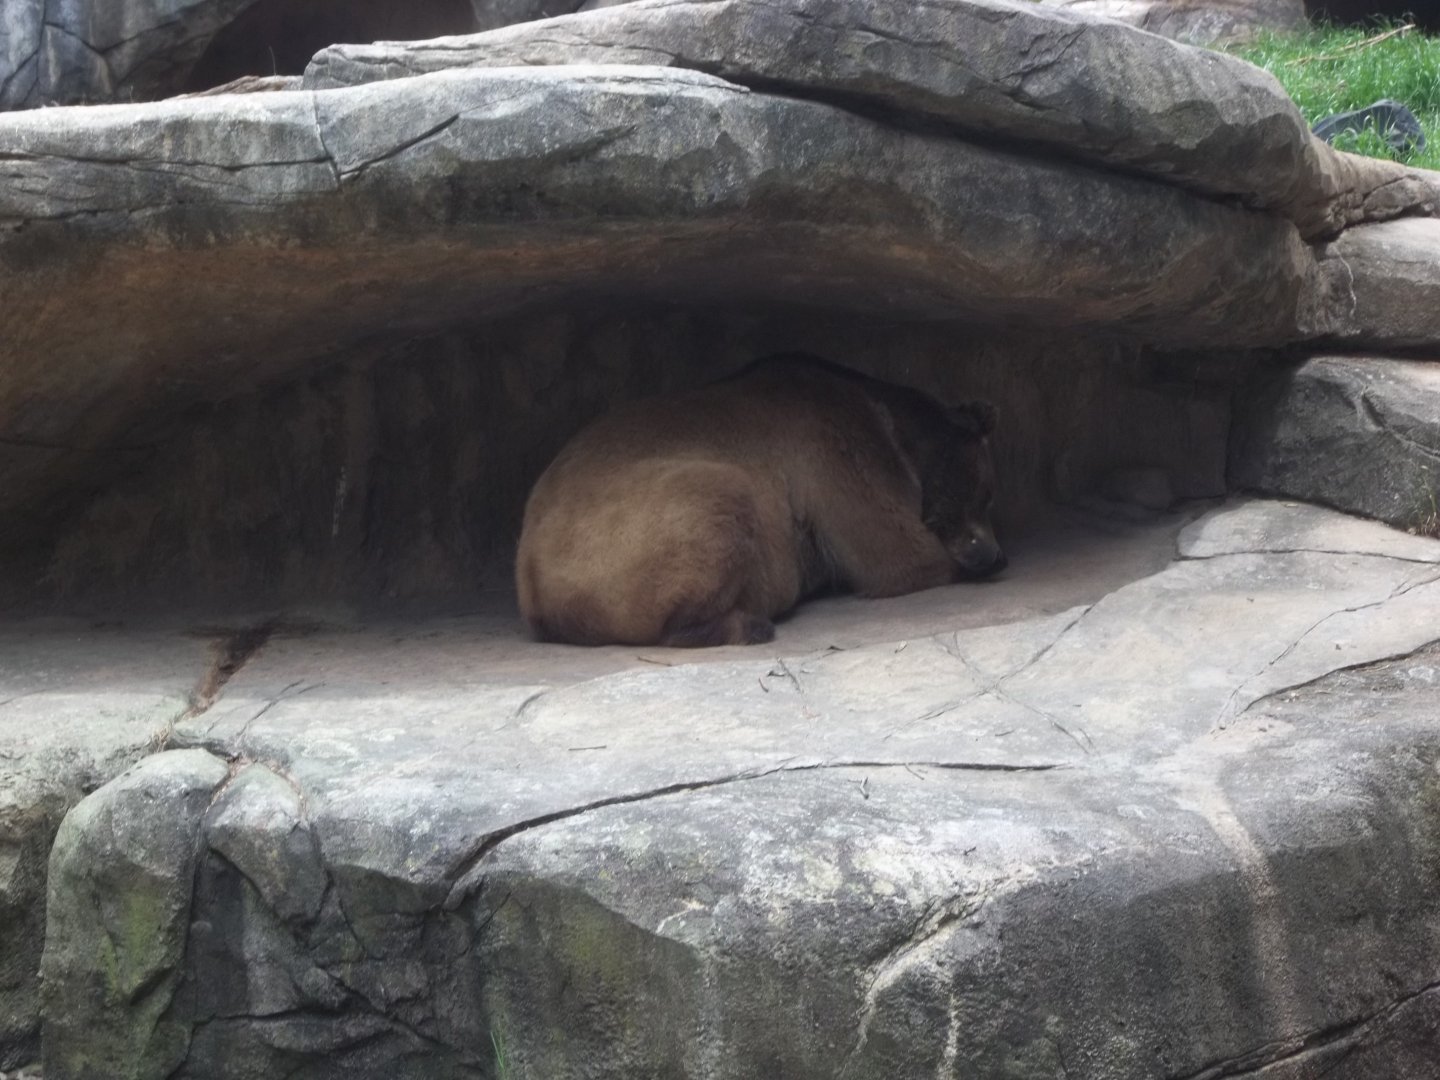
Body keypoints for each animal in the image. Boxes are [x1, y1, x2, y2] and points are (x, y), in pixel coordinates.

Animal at [515, 352, 1004, 647]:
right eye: (981, 493)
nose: (992, 552)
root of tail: (533, 590)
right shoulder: (837, 451)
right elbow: (898, 553)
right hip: (626, 537)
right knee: (720, 499)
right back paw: (750, 623)